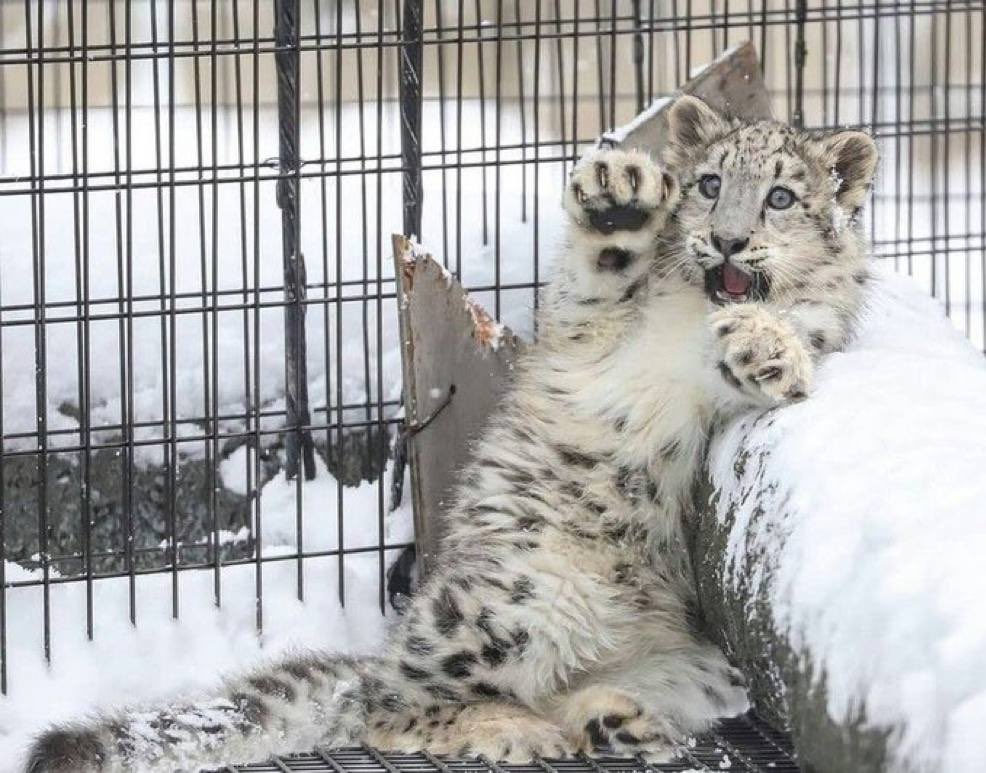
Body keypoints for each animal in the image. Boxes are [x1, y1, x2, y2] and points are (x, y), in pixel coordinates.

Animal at [24, 95, 877, 772]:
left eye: (780, 196)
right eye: (708, 184)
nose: (727, 240)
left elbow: (797, 330)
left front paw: (767, 347)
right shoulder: (584, 330)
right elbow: (594, 280)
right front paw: (618, 201)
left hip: (696, 669)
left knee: (476, 695)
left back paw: (611, 720)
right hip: (516, 599)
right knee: (386, 702)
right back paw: (520, 728)